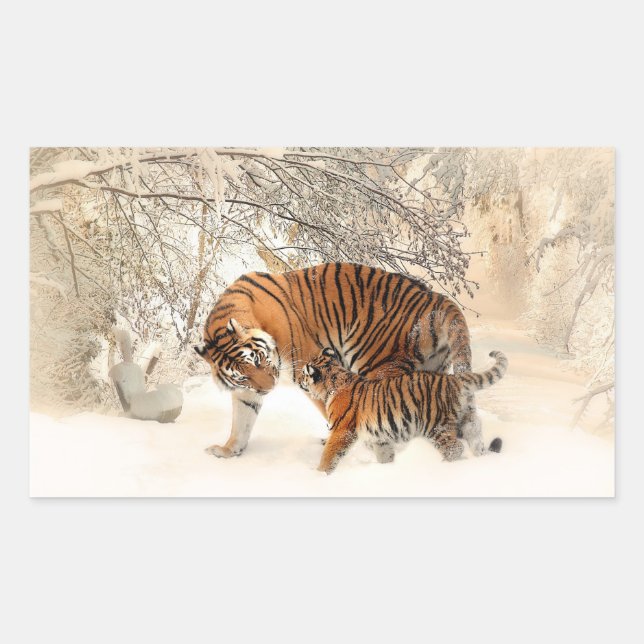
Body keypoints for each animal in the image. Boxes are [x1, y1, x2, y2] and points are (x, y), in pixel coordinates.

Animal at [194, 262, 487, 459]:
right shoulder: (247, 391)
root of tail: (436, 298)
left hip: (379, 365)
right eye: (242, 375)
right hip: (431, 370)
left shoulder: (308, 365)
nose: (269, 388)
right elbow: (241, 420)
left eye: (257, 359)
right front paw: (228, 450)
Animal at [299, 347, 508, 474]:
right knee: (476, 439)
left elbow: (329, 454)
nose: (299, 380)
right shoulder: (379, 437)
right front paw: (387, 469)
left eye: (303, 373)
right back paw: (480, 460)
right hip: (468, 419)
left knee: (455, 448)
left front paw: (320, 475)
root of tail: (454, 379)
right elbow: (384, 454)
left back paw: (442, 467)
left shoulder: (341, 431)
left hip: (435, 426)